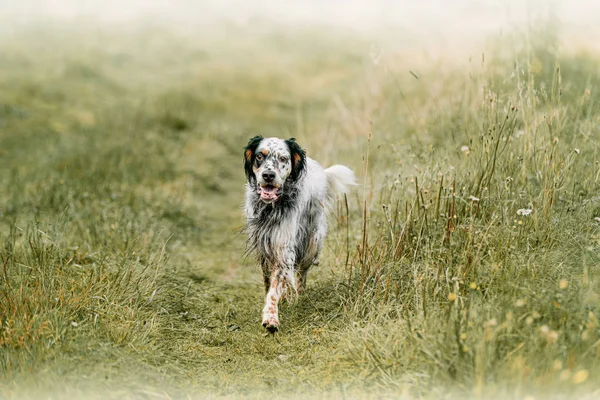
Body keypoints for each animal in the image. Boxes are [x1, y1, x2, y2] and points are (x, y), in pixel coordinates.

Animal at [243, 136, 356, 332]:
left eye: (283, 158)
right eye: (259, 156)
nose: (268, 175)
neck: (271, 208)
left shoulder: (284, 247)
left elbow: (275, 287)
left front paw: (271, 318)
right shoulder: (264, 247)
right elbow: (269, 282)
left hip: (312, 243)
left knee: (301, 273)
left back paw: (297, 295)